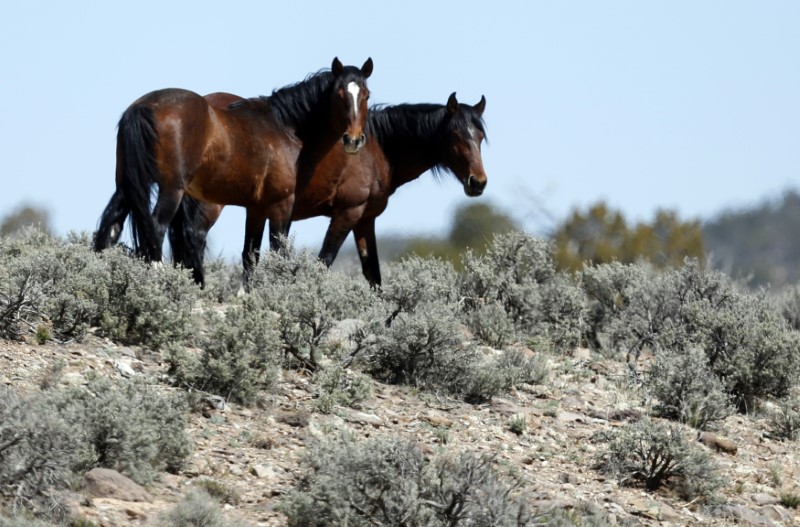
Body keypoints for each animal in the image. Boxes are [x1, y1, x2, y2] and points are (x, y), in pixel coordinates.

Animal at [91, 56, 376, 284]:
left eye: (366, 95)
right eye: (339, 94)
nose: (354, 140)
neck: (285, 127)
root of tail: (144, 106)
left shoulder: (256, 208)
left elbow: (251, 254)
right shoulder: (281, 205)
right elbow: (278, 253)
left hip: (127, 186)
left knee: (110, 228)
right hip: (172, 190)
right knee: (156, 228)